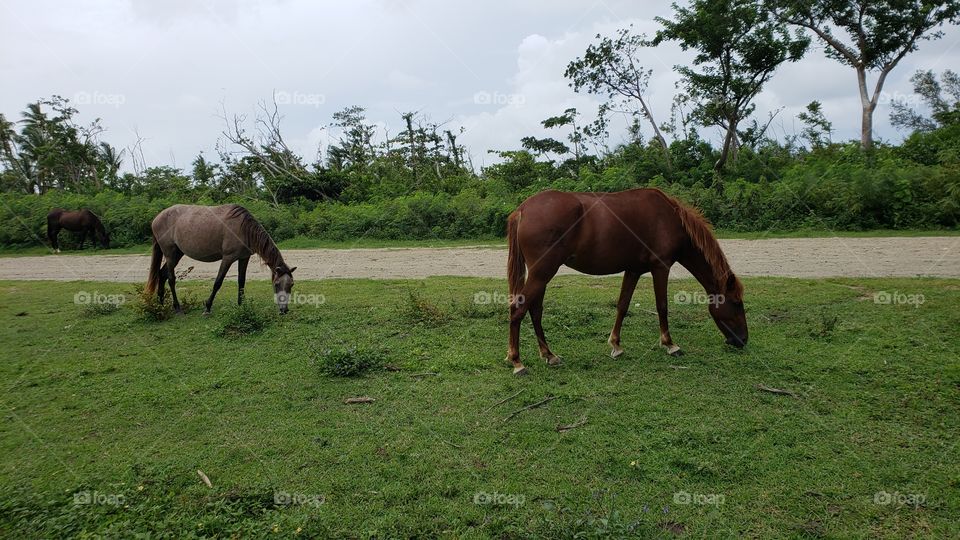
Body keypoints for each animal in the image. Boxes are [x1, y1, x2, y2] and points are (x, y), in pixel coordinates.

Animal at [145, 204, 296, 315]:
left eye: (291, 284)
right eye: (276, 284)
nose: (284, 310)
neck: (243, 228)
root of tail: (156, 218)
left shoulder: (244, 258)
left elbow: (241, 281)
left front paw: (242, 305)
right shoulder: (228, 258)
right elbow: (218, 282)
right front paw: (207, 307)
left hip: (177, 254)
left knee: (161, 274)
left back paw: (160, 304)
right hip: (170, 254)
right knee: (171, 279)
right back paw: (177, 307)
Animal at [505, 188, 747, 375]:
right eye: (736, 303)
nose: (743, 340)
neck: (669, 218)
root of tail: (523, 209)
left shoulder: (633, 270)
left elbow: (622, 305)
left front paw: (616, 345)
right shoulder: (661, 267)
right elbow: (662, 306)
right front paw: (670, 344)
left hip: (542, 274)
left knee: (535, 311)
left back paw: (549, 355)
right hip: (542, 273)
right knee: (518, 309)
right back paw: (517, 361)